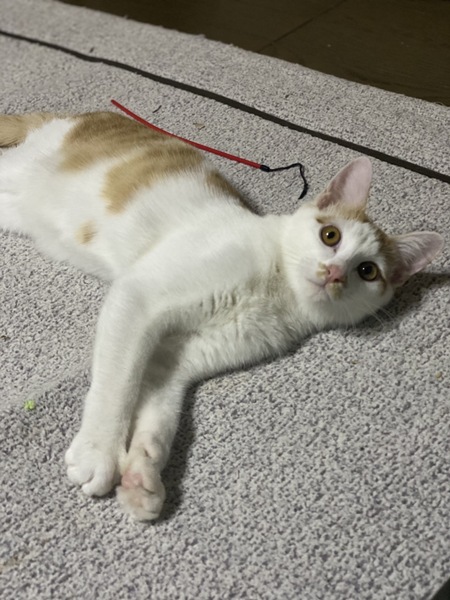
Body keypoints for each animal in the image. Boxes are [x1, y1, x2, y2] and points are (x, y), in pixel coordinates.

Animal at [0, 111, 443, 521]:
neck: (276, 291)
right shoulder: (139, 295)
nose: (333, 273)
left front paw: (142, 476)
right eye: (330, 235)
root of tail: (75, 117)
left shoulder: (176, 357)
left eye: (367, 271)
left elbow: (159, 412)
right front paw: (99, 453)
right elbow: (119, 384)